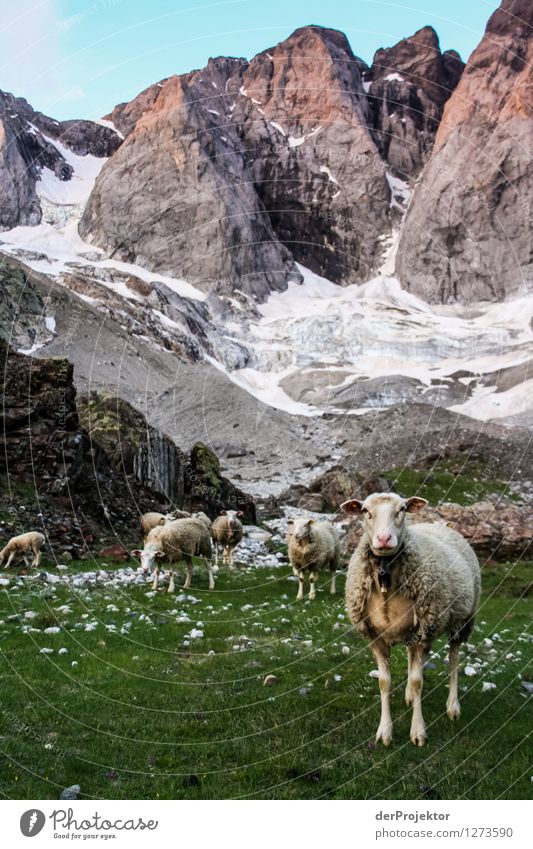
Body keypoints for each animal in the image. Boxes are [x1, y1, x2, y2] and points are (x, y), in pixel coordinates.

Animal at [340, 494, 482, 744]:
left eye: (402, 509)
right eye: (365, 511)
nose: (384, 539)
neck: (386, 575)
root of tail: (439, 524)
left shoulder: (425, 631)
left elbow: (418, 682)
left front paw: (418, 732)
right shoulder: (375, 637)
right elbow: (384, 682)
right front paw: (384, 732)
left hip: (461, 621)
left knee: (454, 660)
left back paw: (453, 706)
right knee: (410, 655)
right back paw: (408, 696)